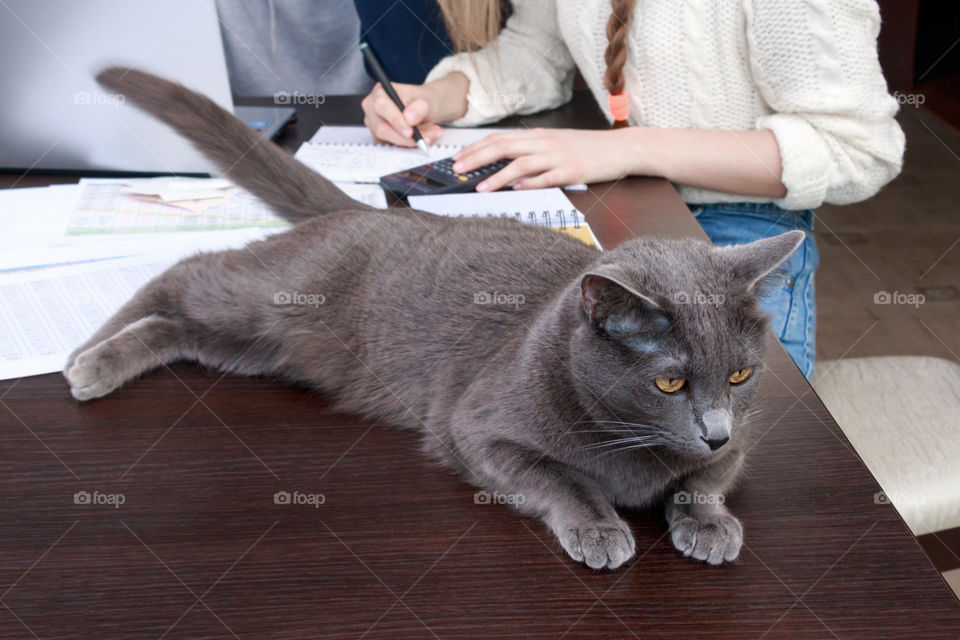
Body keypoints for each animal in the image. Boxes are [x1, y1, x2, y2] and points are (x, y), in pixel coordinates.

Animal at [63, 69, 808, 568]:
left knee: (183, 326)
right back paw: (85, 354)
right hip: (272, 299)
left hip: (262, 346)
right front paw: (599, 529)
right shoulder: (476, 430)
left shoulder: (741, 443)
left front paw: (708, 523)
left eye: (741, 377)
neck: (636, 448)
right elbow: (560, 478)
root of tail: (368, 211)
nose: (711, 430)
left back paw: (104, 358)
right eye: (670, 383)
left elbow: (709, 481)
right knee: (187, 269)